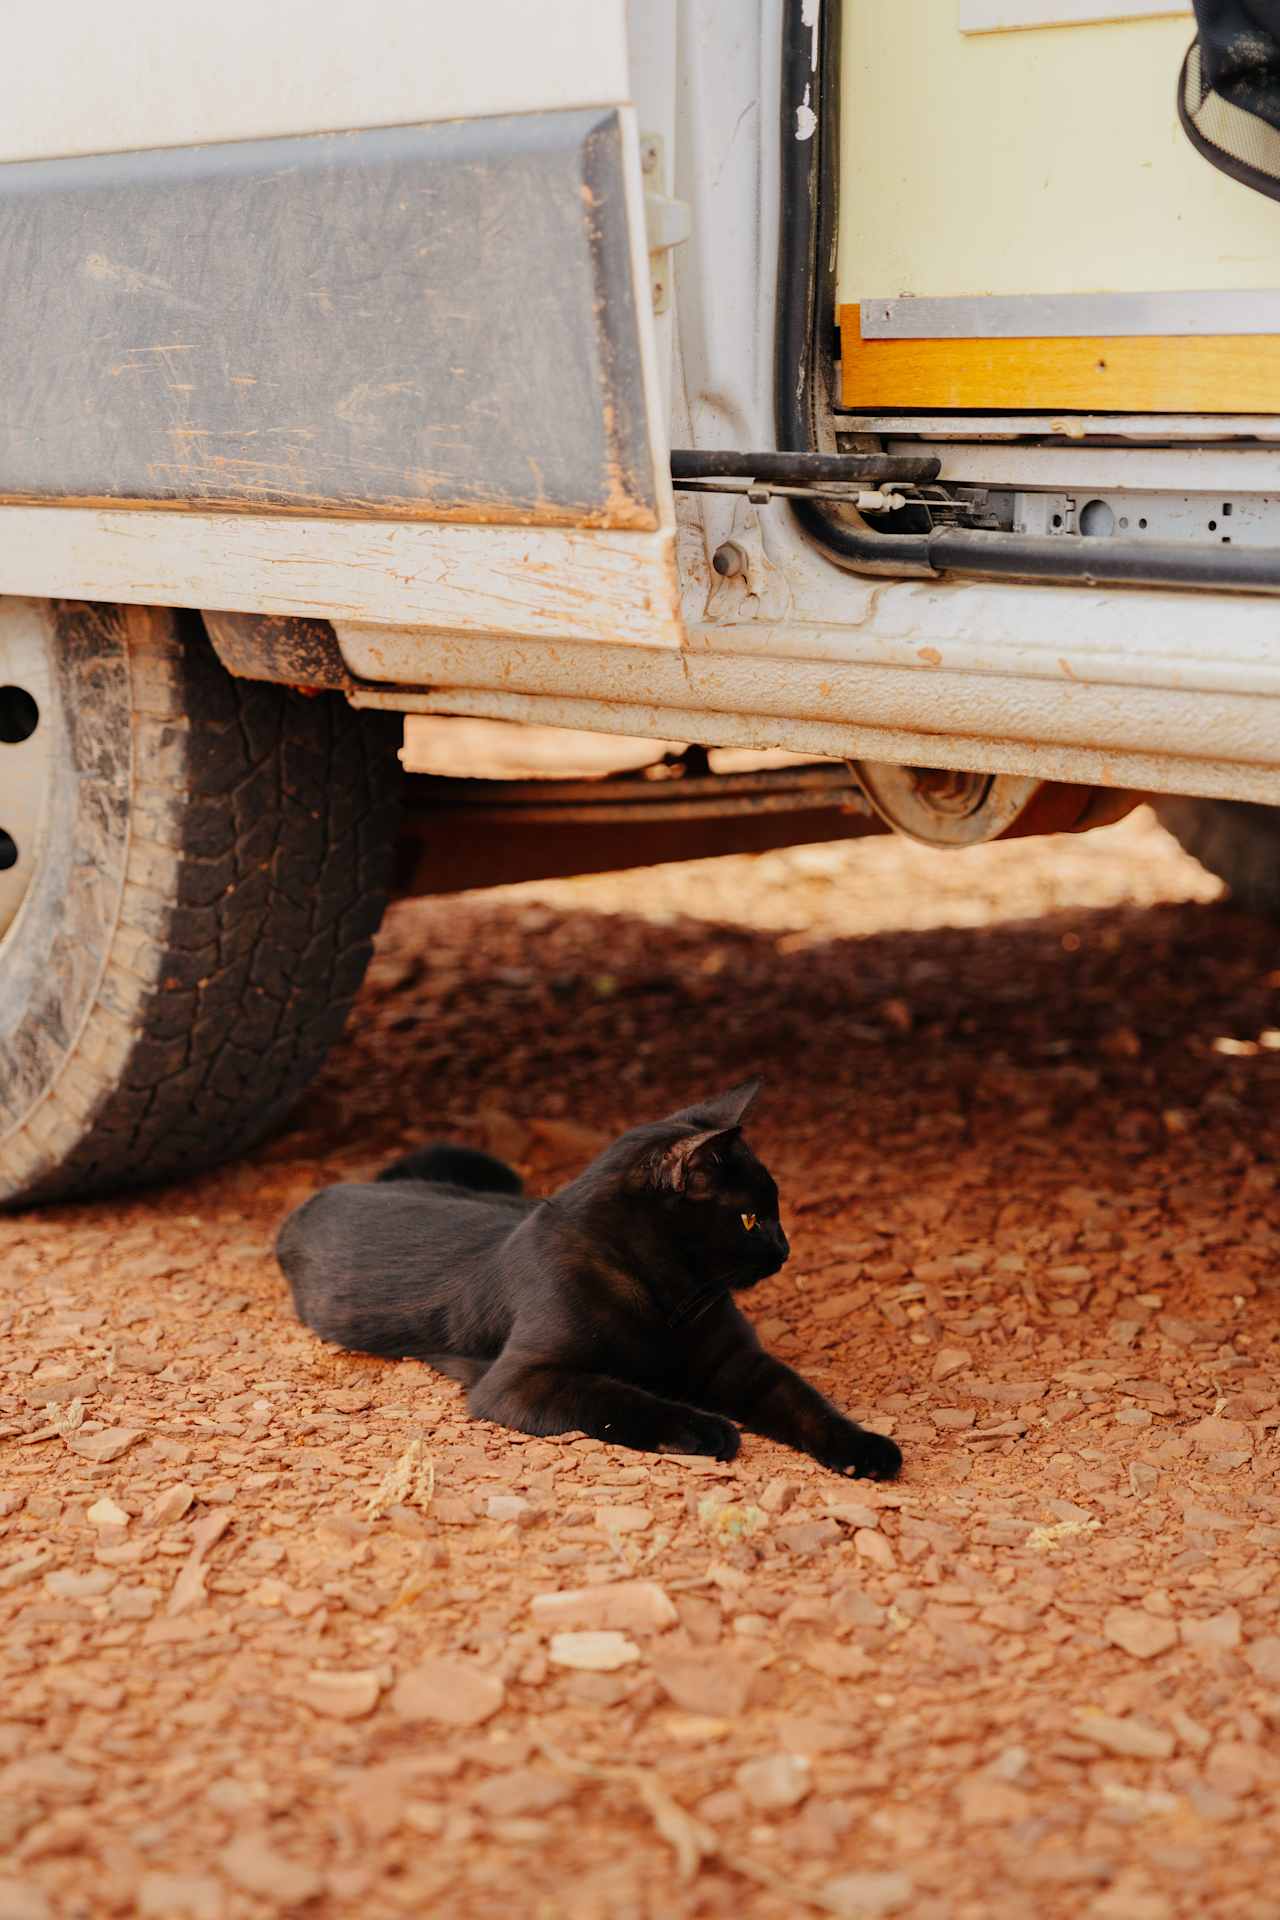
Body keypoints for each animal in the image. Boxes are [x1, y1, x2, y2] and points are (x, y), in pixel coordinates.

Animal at [278, 1090, 901, 1474]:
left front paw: (865, 1449)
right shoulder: (522, 1381)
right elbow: (620, 1396)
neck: (671, 1298)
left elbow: (804, 1401)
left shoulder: (737, 1363)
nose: (785, 1249)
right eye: (751, 1218)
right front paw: (708, 1429)